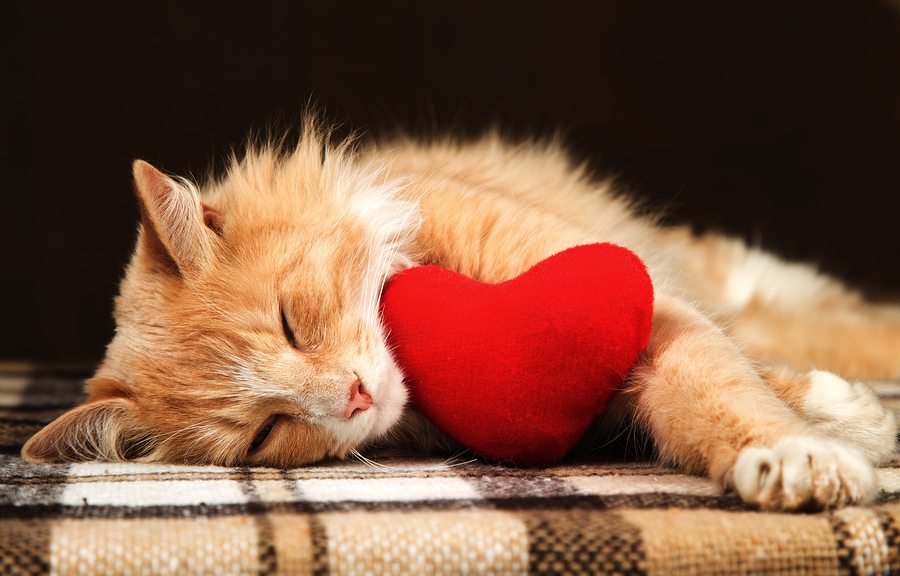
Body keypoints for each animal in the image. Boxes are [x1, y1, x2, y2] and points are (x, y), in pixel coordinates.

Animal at [22, 120, 900, 508]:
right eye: (265, 434)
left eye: (290, 321)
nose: (355, 397)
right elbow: (726, 393)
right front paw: (830, 433)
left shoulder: (650, 308)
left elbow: (732, 392)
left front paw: (806, 452)